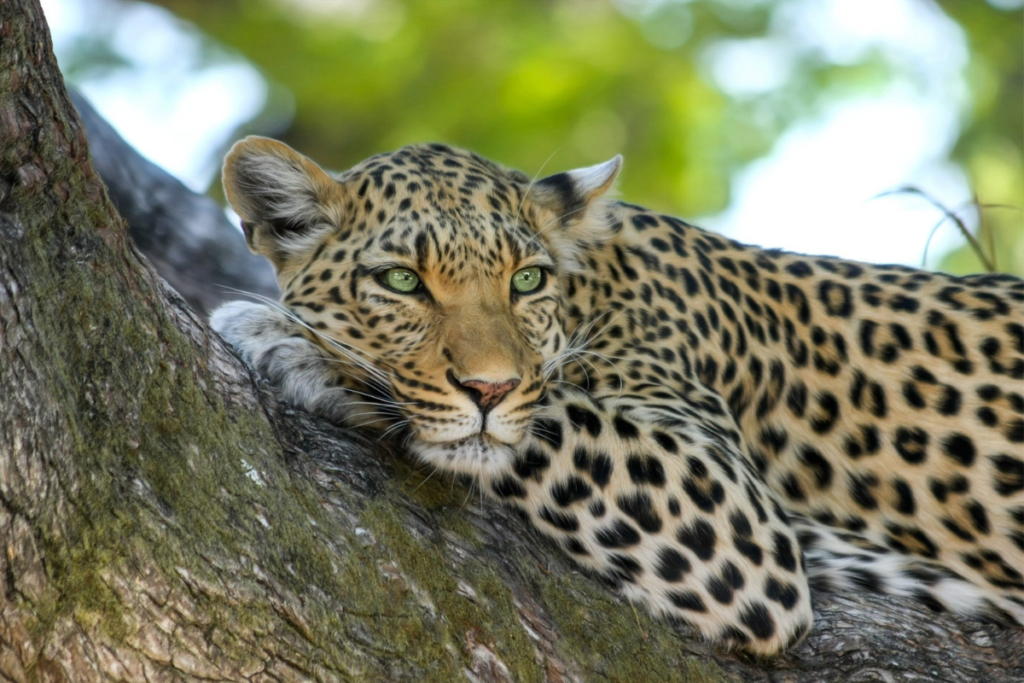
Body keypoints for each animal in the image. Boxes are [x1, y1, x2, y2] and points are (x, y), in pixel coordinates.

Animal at [210, 136, 1024, 655]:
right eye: (402, 281)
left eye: (526, 280)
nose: (489, 386)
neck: (593, 289)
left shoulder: (733, 513)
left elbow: (547, 416)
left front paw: (290, 340)